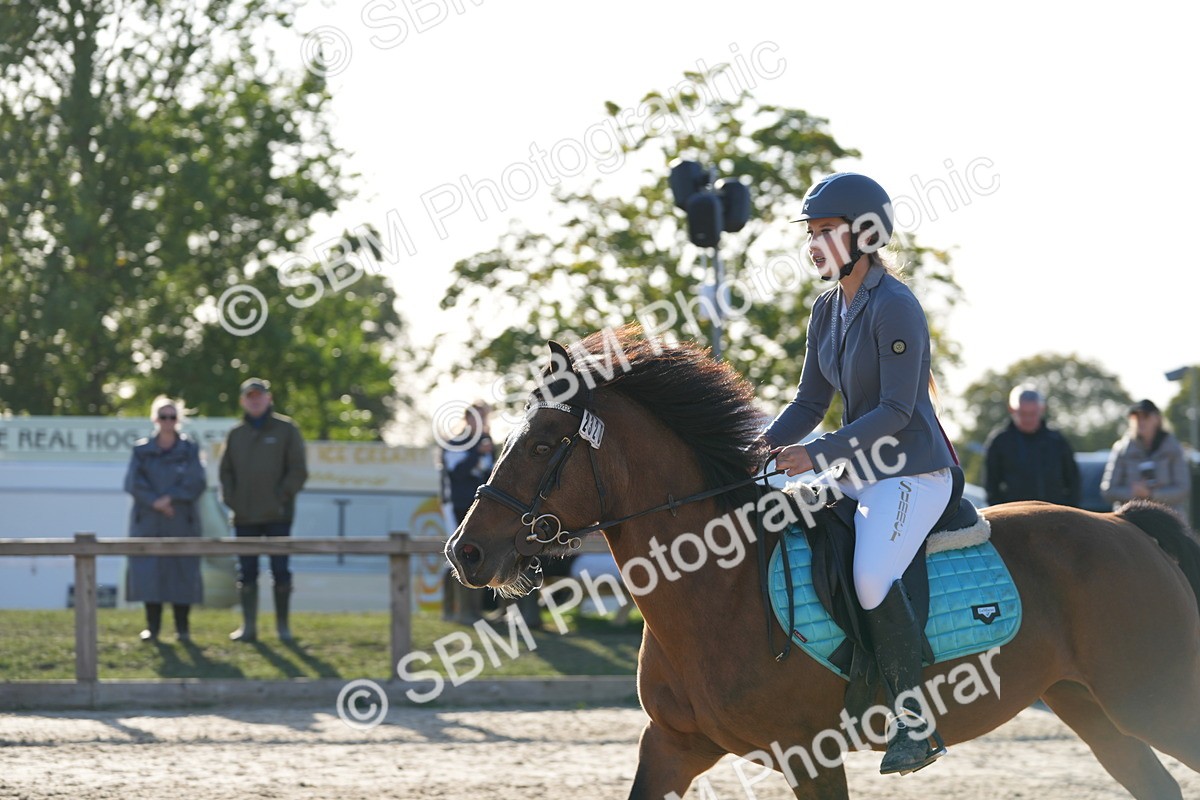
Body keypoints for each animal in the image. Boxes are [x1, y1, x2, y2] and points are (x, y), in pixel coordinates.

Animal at [446, 328, 1200, 799]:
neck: (714, 592)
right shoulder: (671, 746)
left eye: (544, 443)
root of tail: (1123, 525)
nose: (466, 552)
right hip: (1093, 706)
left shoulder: (810, 756)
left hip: (1153, 699)